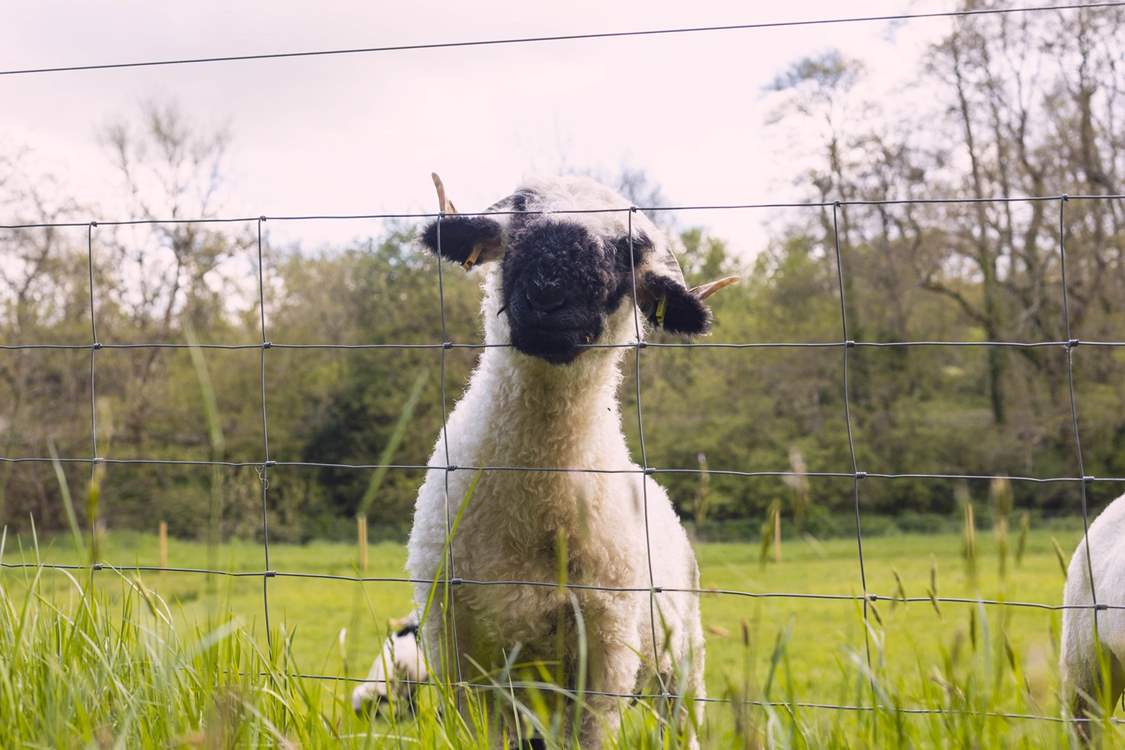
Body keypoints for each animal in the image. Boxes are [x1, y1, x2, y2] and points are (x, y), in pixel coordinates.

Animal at [375, 174, 736, 747]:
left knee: (680, 723)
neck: (534, 492)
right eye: (519, 218)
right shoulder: (456, 650)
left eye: (630, 249)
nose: (548, 292)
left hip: (680, 665)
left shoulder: (605, 653)